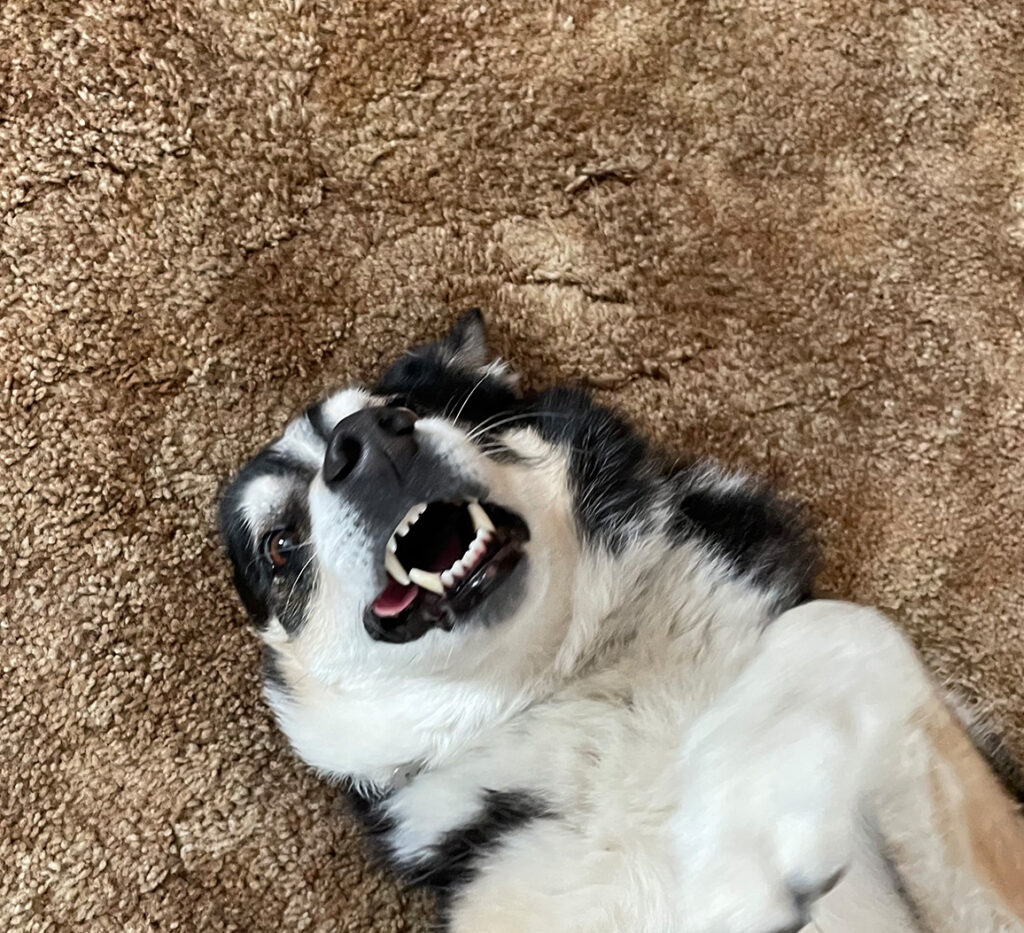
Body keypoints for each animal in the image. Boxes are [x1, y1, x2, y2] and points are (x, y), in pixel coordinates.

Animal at [218, 313, 1024, 933]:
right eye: (279, 543)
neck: (570, 682)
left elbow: (841, 626)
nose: (370, 441)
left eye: (407, 405)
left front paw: (752, 818)